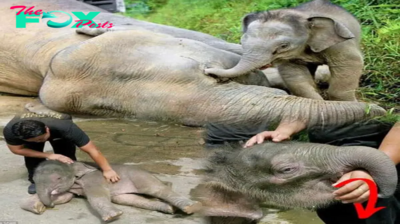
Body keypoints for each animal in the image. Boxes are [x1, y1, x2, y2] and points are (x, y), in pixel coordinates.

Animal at [20, 160, 202, 221]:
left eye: (58, 179)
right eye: (34, 180)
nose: (48, 206)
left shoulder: (93, 180)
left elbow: (97, 197)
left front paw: (113, 217)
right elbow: (65, 198)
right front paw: (37, 207)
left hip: (139, 177)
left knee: (156, 189)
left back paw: (190, 207)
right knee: (128, 199)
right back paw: (170, 209)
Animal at [205, 0, 364, 101]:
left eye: (283, 46)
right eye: (241, 42)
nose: (207, 69)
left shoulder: (340, 45)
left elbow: (351, 63)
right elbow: (294, 75)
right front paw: (318, 101)